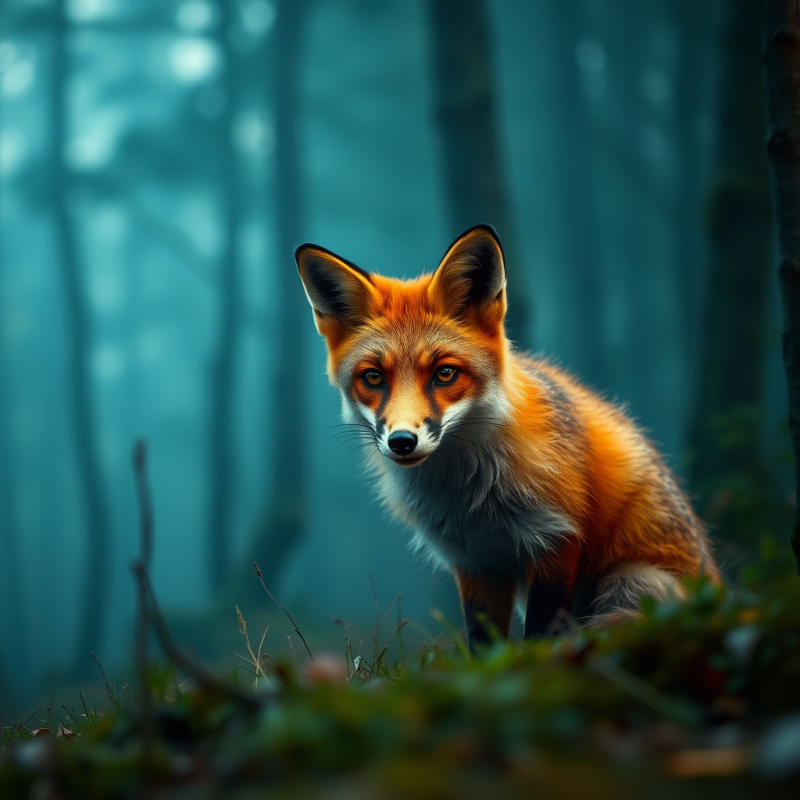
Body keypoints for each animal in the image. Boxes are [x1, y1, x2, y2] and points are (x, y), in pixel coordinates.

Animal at [295, 224, 719, 648]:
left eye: (445, 374)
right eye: (373, 378)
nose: (402, 441)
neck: (470, 501)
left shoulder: (555, 541)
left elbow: (541, 637)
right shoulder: (474, 563)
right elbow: (483, 647)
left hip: (631, 583)